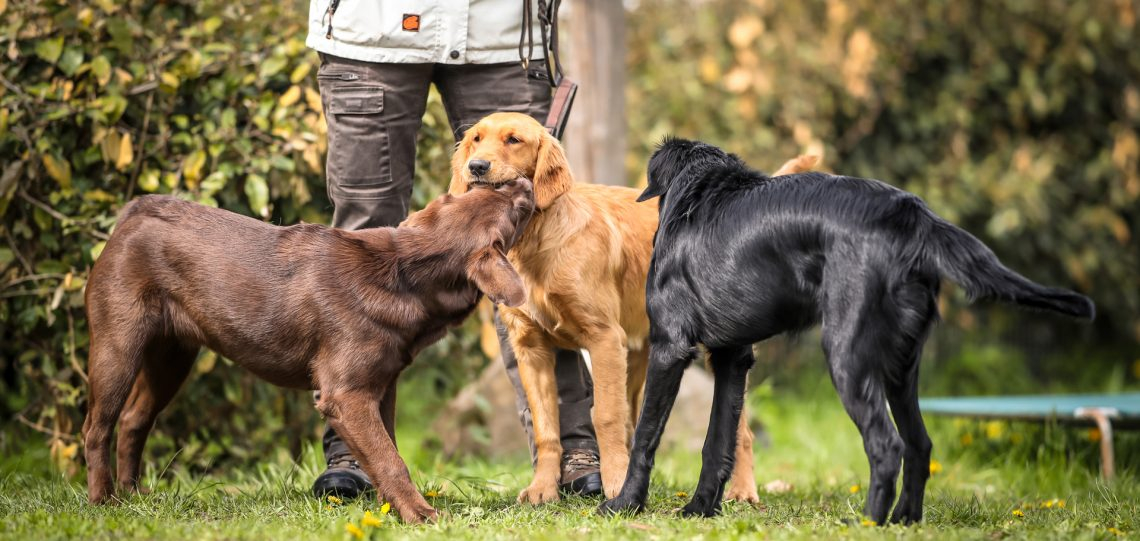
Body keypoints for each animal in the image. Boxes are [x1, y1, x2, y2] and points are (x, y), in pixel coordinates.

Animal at [449, 111, 816, 503]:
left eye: (513, 140)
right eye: (475, 139)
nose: (476, 166)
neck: (540, 239)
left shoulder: (604, 339)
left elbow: (606, 416)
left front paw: (614, 486)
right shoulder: (531, 349)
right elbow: (547, 426)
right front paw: (543, 488)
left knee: (740, 431)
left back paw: (743, 490)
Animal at [601, 138, 1089, 526]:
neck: (699, 198)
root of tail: (915, 218)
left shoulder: (670, 346)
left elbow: (645, 435)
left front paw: (625, 504)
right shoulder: (733, 357)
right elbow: (717, 443)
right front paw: (700, 510)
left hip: (847, 355)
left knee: (887, 446)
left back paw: (869, 523)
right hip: (900, 366)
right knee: (919, 443)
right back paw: (904, 520)